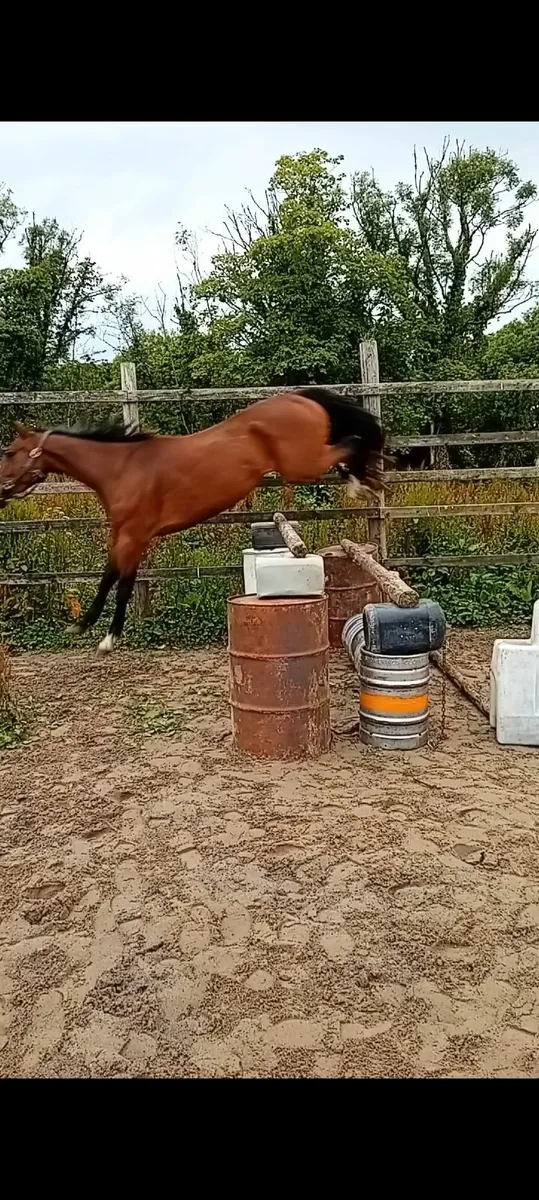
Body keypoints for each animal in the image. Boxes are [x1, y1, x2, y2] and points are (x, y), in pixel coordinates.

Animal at [0, 386, 386, 654]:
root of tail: (299, 397)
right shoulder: (121, 534)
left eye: (9, 451)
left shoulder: (135, 536)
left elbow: (122, 584)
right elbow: (108, 577)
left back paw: (362, 485)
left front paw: (108, 639)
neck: (123, 468)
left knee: (352, 442)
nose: (1, 489)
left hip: (303, 463)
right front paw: (83, 626)